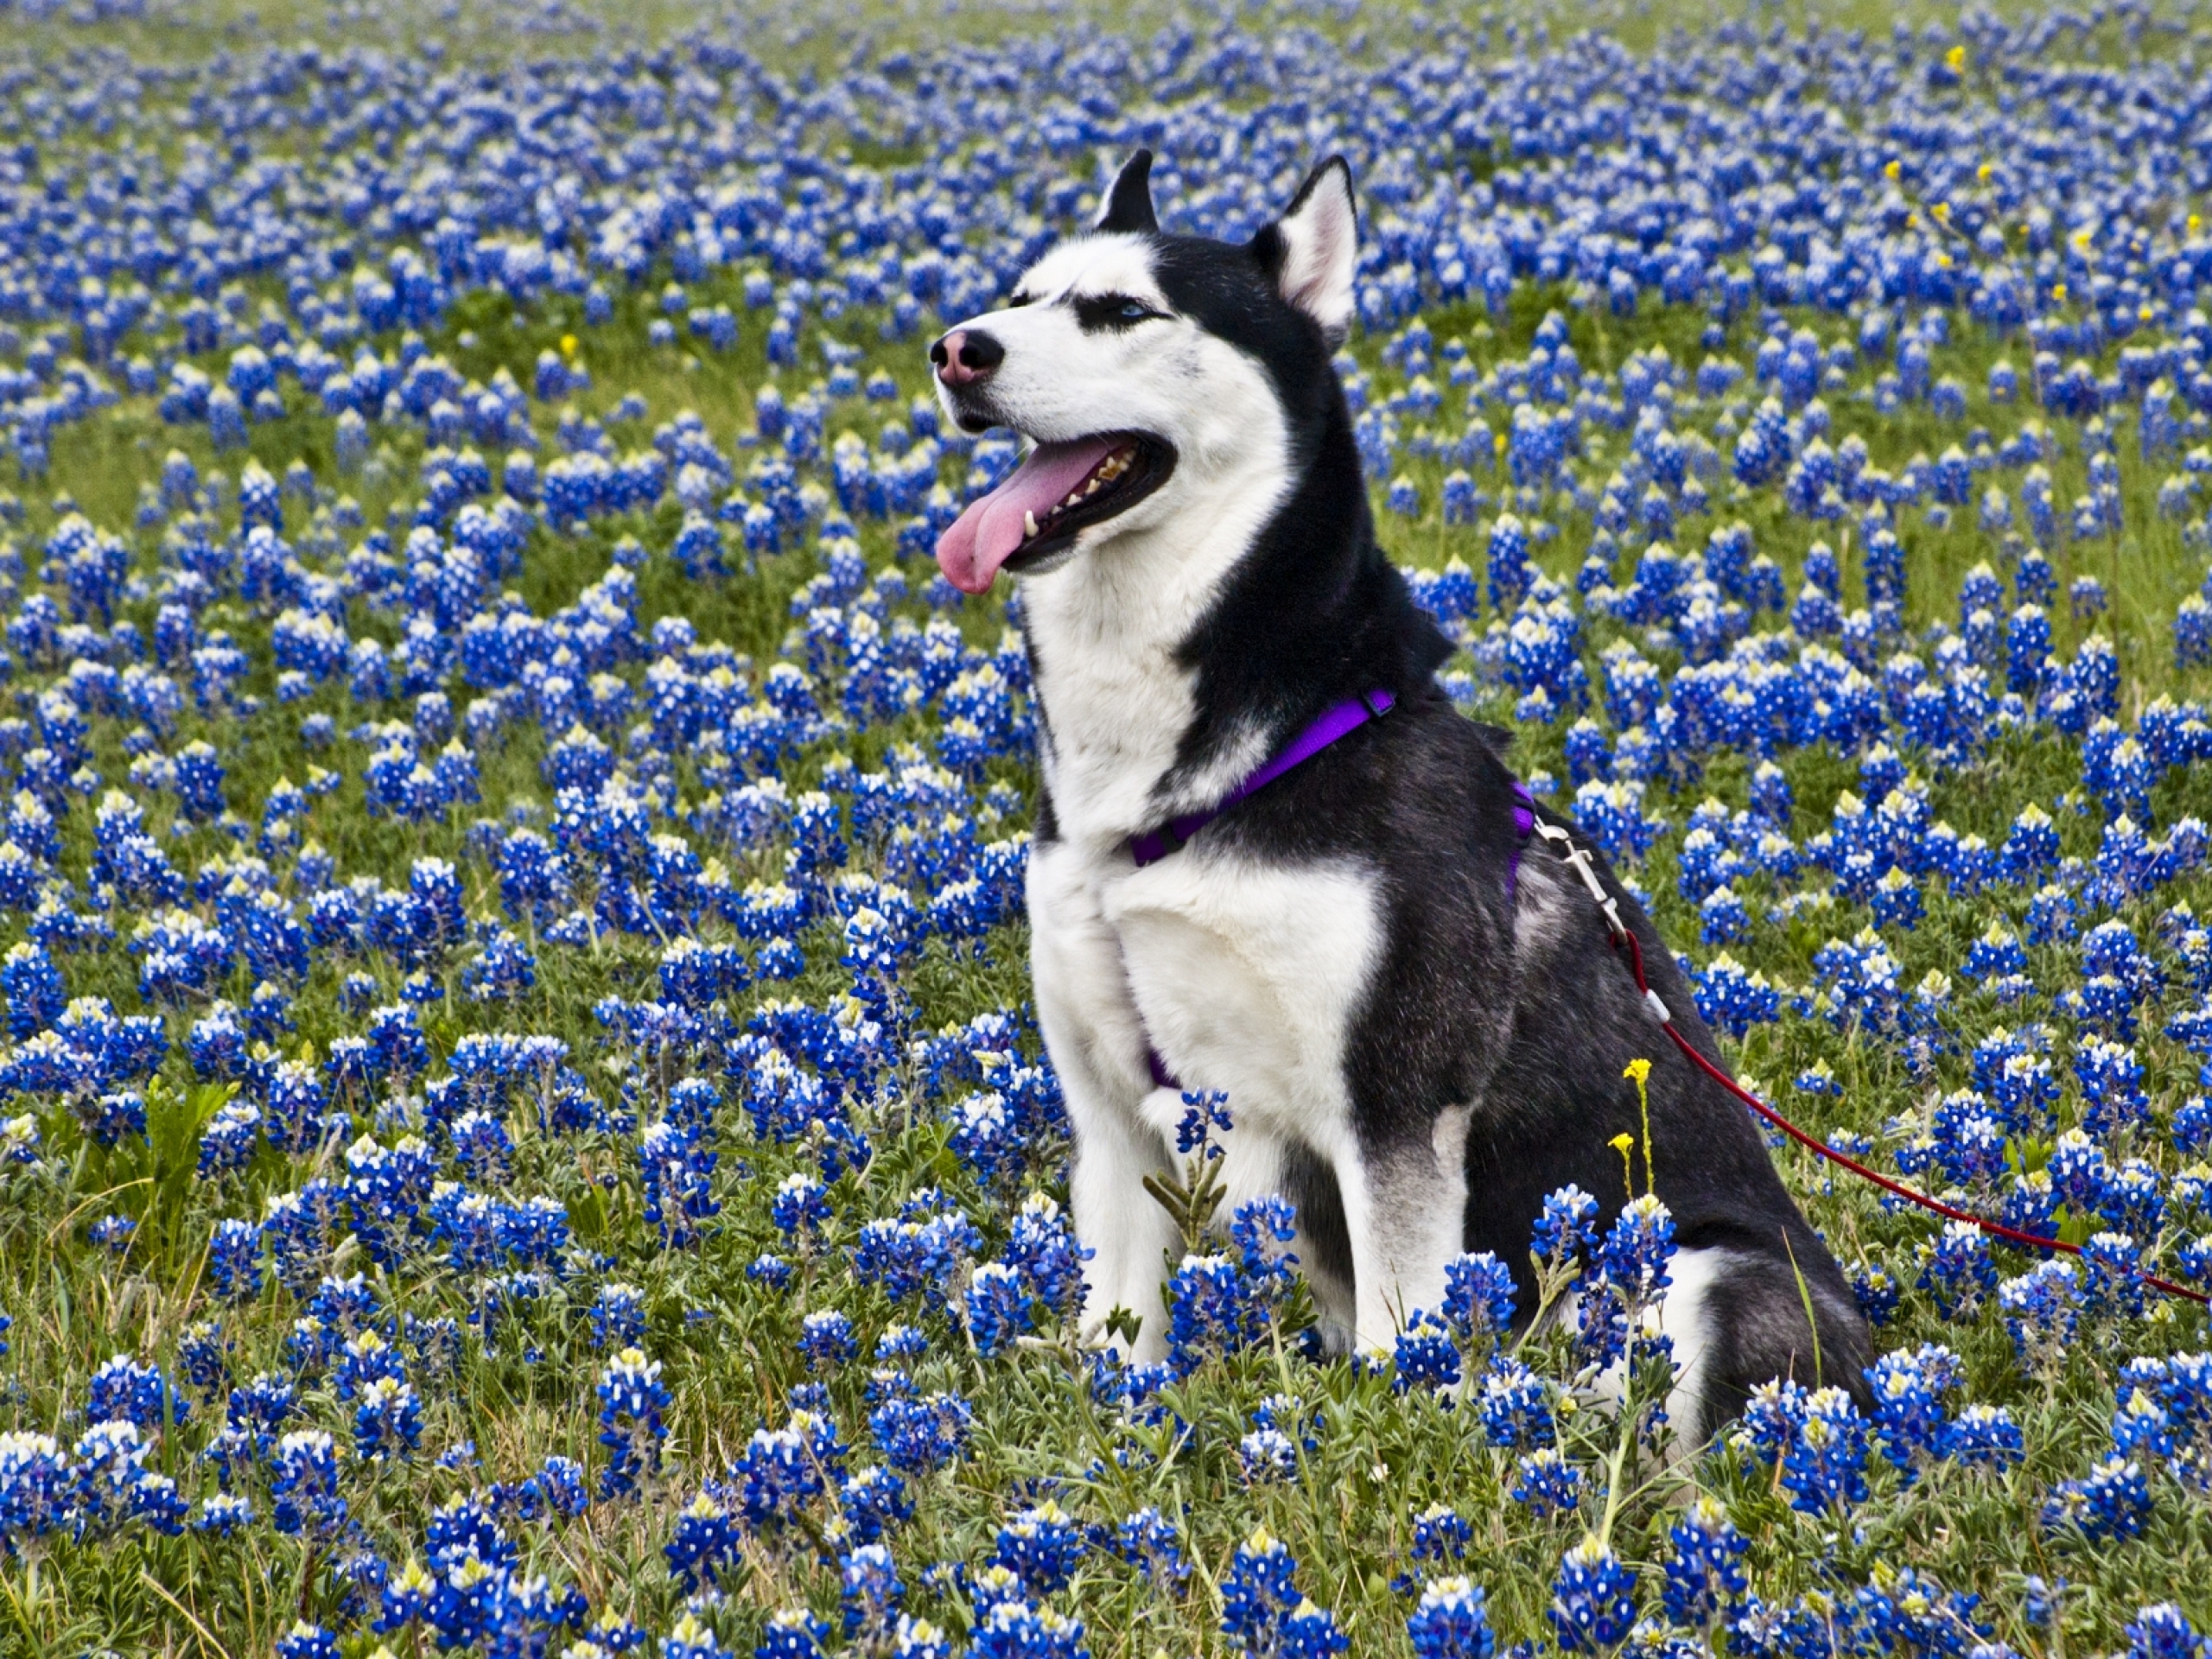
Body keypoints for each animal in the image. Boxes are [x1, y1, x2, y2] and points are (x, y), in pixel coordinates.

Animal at [919, 149, 1866, 1433]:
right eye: (1019, 294)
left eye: (1121, 310)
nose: (957, 348)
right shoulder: (1111, 1114)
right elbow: (1120, 1332)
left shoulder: (1393, 1106)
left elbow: (1394, 1340)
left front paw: (1394, 1456)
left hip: (1702, 1269)